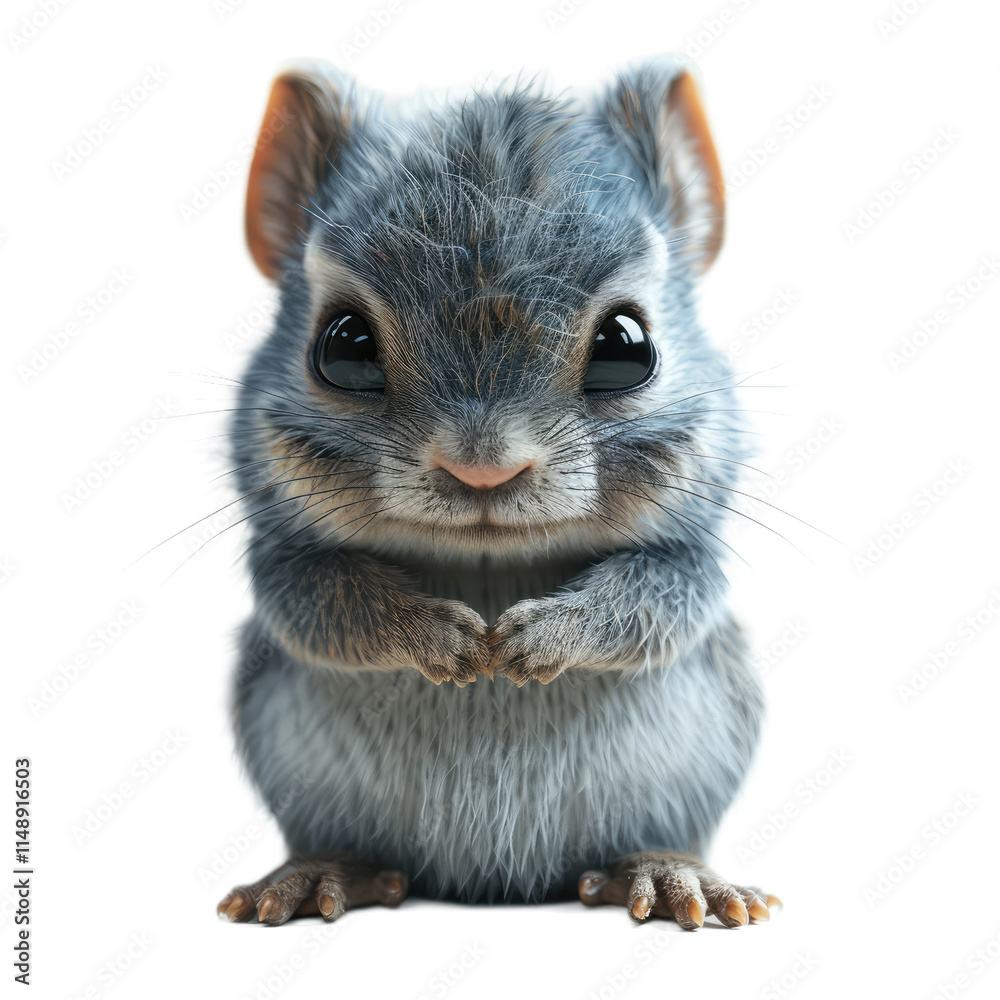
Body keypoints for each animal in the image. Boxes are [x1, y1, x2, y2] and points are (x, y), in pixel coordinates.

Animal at [215, 55, 779, 930]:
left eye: (628, 347)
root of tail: (493, 884)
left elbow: (661, 599)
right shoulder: (282, 554)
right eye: (342, 346)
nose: (484, 470)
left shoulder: (691, 553)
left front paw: (540, 638)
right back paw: (325, 869)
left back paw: (664, 871)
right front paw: (439, 637)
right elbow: (316, 602)